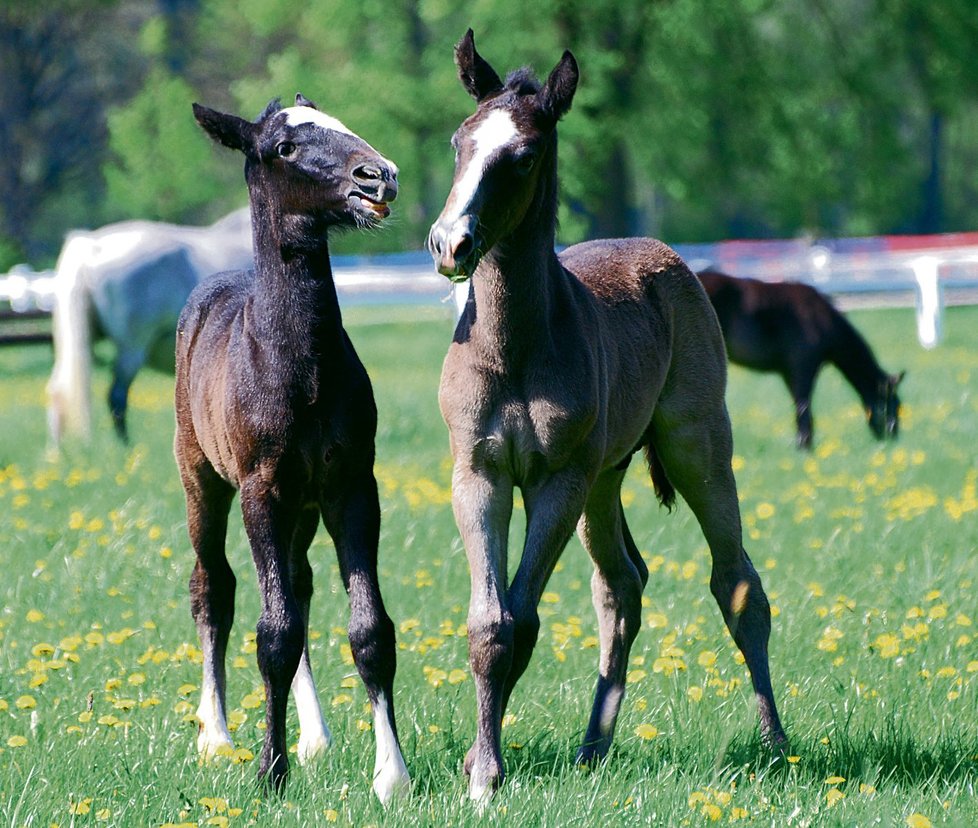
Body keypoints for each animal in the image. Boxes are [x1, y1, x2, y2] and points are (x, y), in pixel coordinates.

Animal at [173, 95, 406, 804]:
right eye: (284, 148)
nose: (377, 177)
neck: (300, 368)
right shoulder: (262, 488)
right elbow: (272, 633)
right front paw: (269, 772)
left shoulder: (352, 486)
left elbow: (369, 630)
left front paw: (392, 775)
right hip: (202, 479)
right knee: (213, 586)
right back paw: (217, 737)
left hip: (304, 507)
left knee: (297, 586)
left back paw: (315, 738)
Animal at [428, 29, 784, 800]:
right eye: (459, 141)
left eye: (522, 155)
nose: (449, 244)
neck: (515, 347)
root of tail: (664, 256)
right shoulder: (478, 473)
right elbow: (490, 624)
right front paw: (478, 764)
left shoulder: (556, 480)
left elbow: (522, 620)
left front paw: (485, 770)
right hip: (605, 479)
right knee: (621, 587)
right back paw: (593, 745)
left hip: (692, 446)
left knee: (737, 583)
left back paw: (777, 745)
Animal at [696, 268, 904, 450]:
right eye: (891, 404)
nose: (893, 435)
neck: (823, 319)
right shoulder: (804, 367)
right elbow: (804, 406)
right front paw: (805, 445)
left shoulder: (790, 373)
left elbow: (798, 405)